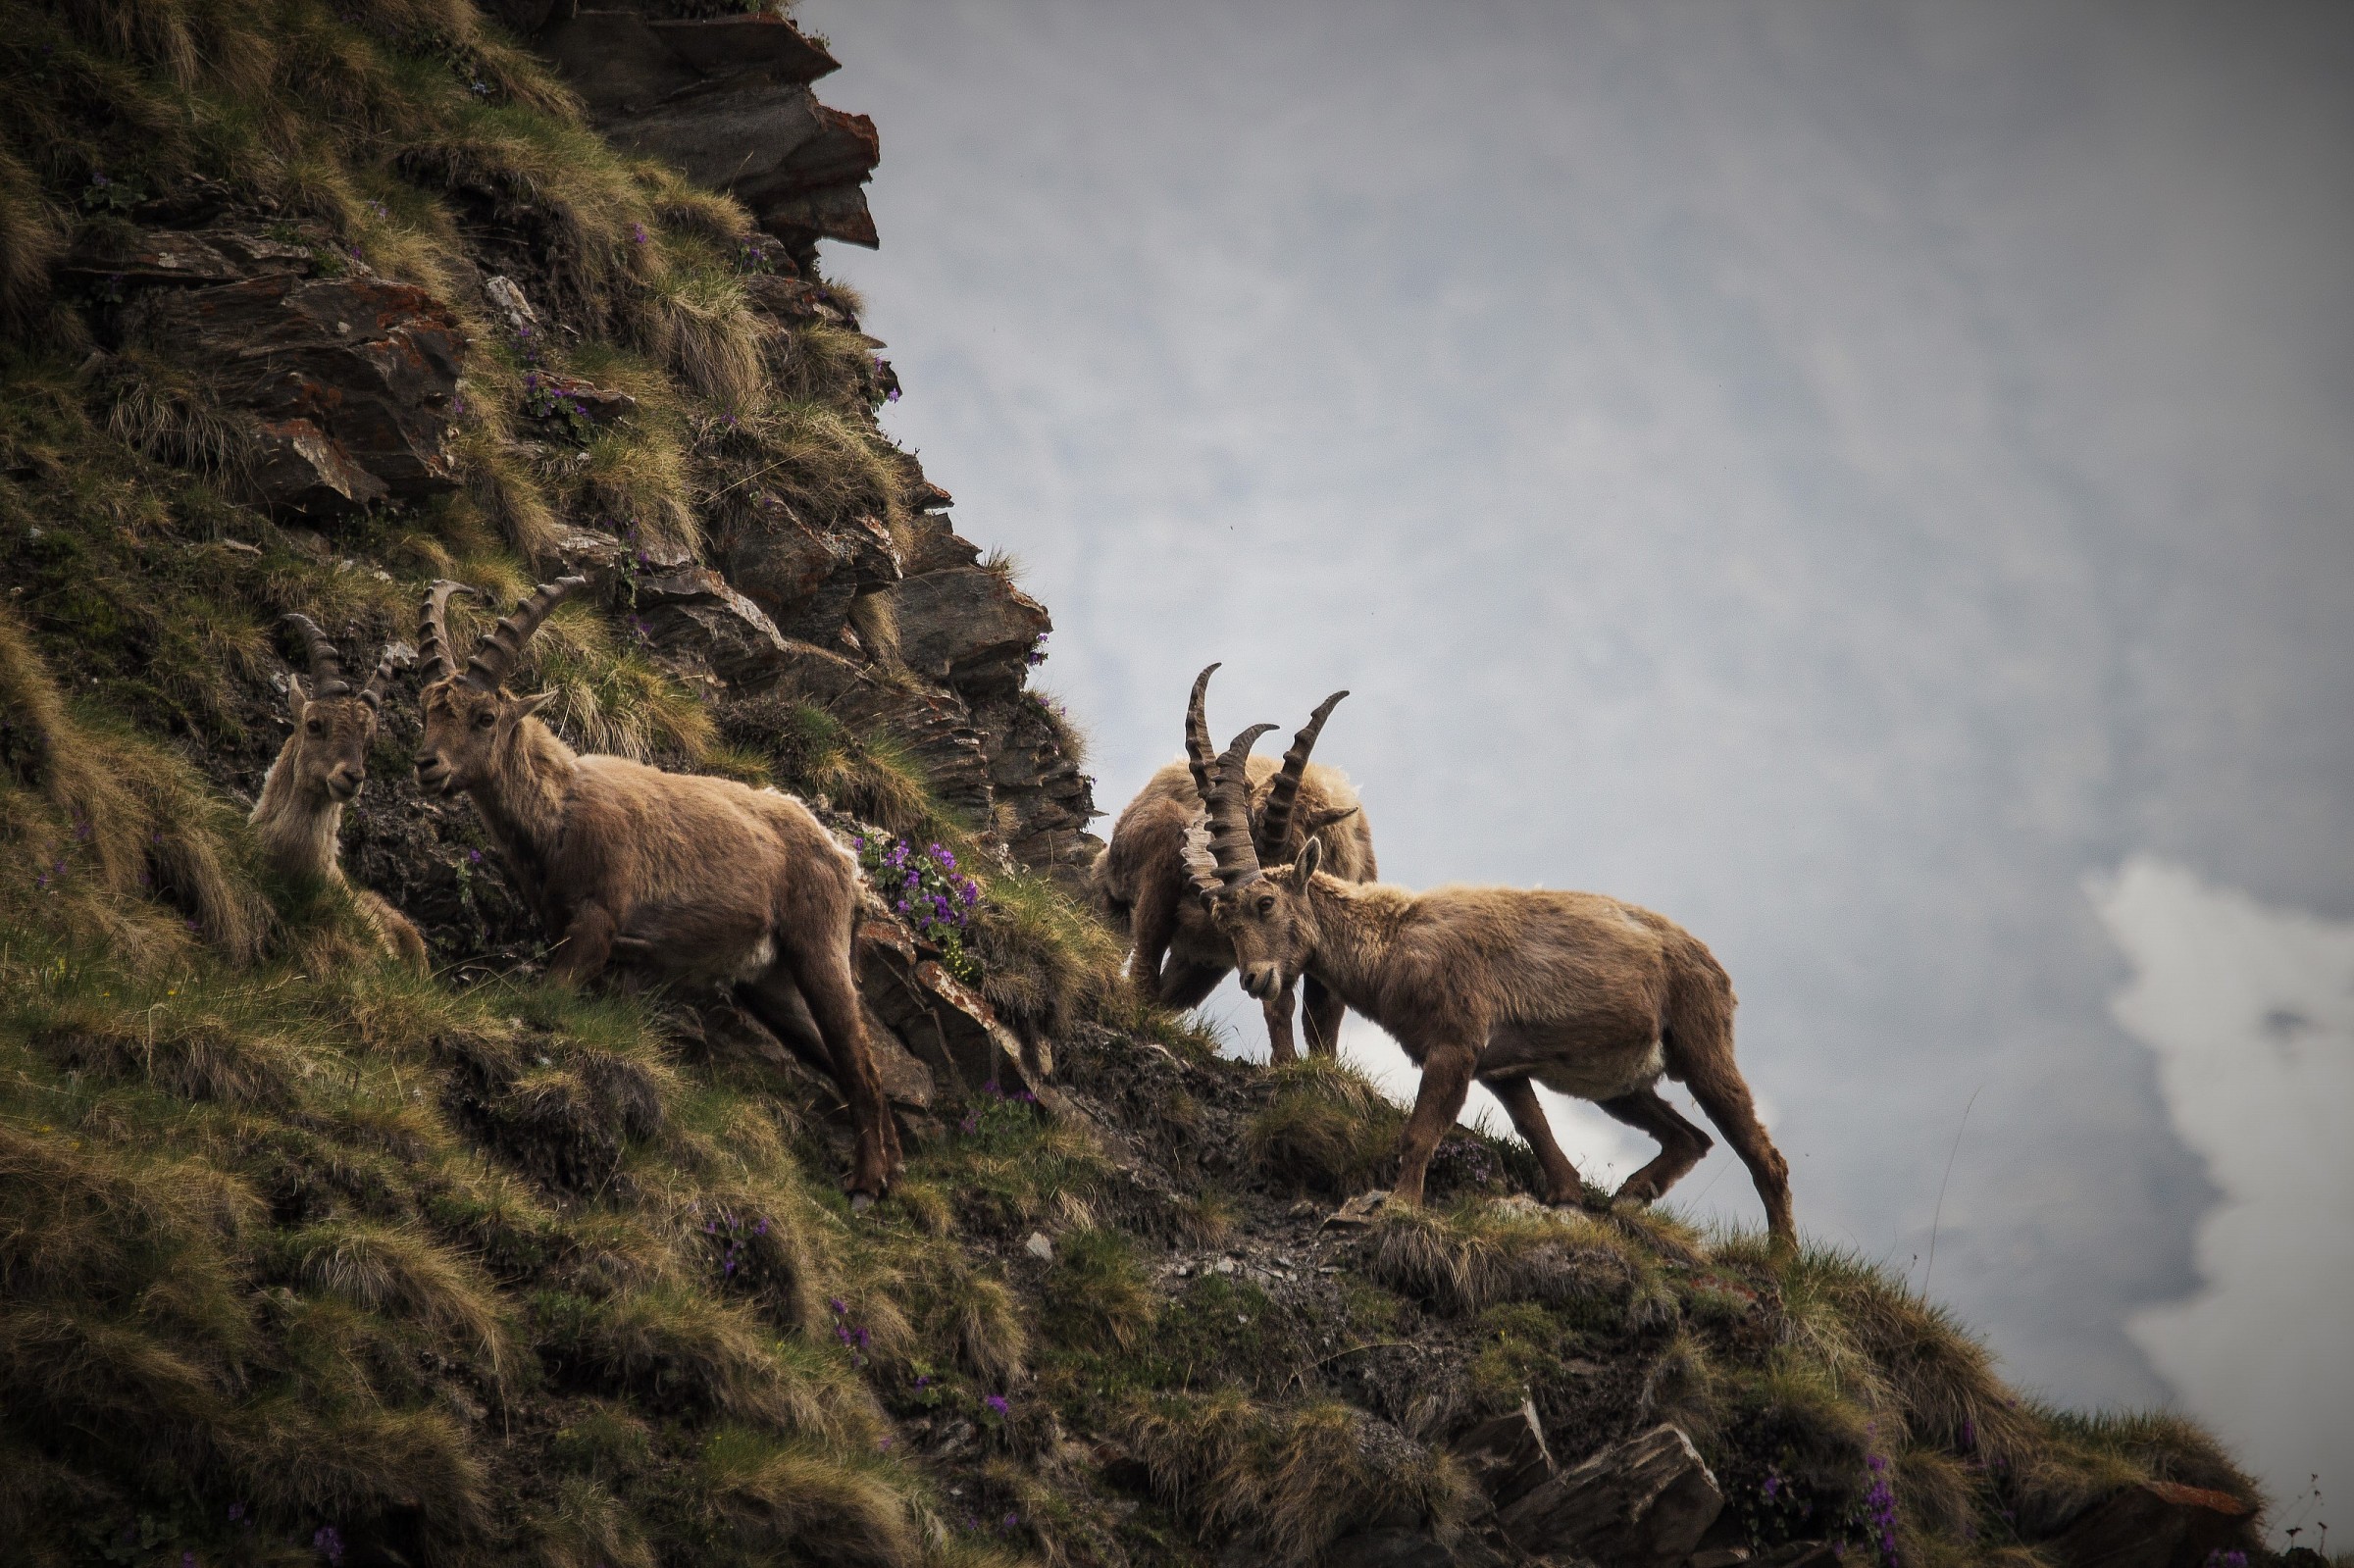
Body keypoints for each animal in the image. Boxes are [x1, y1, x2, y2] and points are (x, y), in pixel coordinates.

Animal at [410, 578, 902, 1198]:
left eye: (484, 716)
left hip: (818, 947)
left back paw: (866, 1183)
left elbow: (547, 995)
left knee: (863, 1066)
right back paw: (884, 1171)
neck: (558, 812)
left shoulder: (598, 921)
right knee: (850, 1061)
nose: (427, 765)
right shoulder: (572, 931)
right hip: (777, 986)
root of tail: (844, 858)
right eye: (427, 709)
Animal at [1096, 664, 1377, 1063]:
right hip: (1147, 877)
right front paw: (1286, 1063)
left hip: (1200, 961)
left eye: (1289, 852)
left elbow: (1323, 1020)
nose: (1218, 902)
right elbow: (1281, 1004)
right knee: (1144, 961)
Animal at [1184, 720, 1795, 1245]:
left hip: (1701, 1047)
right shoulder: (1501, 1068)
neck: (1395, 942)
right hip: (1623, 1086)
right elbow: (1534, 1126)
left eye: (1266, 902)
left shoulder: (1454, 1047)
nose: (1254, 978)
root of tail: (1713, 967)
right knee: (1692, 1137)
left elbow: (1420, 1132)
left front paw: (1401, 1206)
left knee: (1765, 1158)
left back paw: (1781, 1260)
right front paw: (1567, 1195)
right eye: (1224, 919)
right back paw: (1630, 1194)